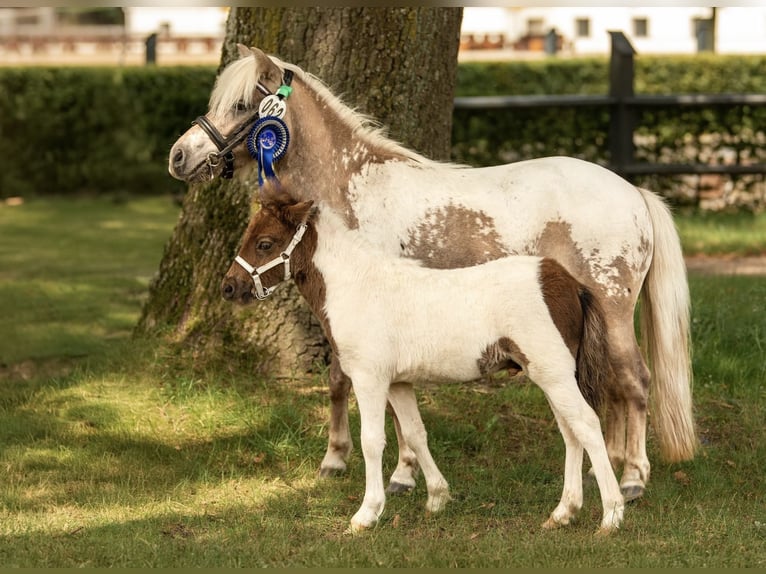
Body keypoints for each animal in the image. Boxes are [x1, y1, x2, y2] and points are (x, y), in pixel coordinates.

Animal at [171, 46, 700, 504]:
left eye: (241, 104)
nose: (179, 156)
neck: (352, 187)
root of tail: (633, 192)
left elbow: (374, 397)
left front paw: (387, 471)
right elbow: (346, 383)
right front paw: (345, 461)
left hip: (613, 309)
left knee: (633, 381)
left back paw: (632, 477)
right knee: (612, 384)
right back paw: (605, 463)